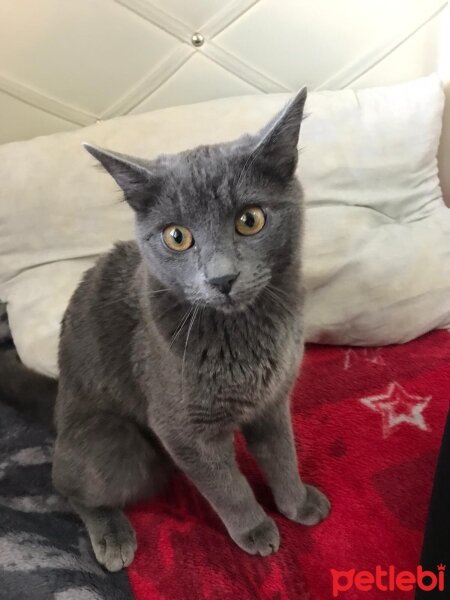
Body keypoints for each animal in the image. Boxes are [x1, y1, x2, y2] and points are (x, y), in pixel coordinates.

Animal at [7, 89, 328, 572]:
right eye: (177, 237)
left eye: (250, 219)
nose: (222, 278)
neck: (246, 334)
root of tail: (59, 401)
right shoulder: (182, 428)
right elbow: (227, 486)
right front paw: (255, 529)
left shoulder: (274, 401)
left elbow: (282, 455)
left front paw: (298, 503)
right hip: (115, 444)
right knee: (67, 484)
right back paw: (112, 536)